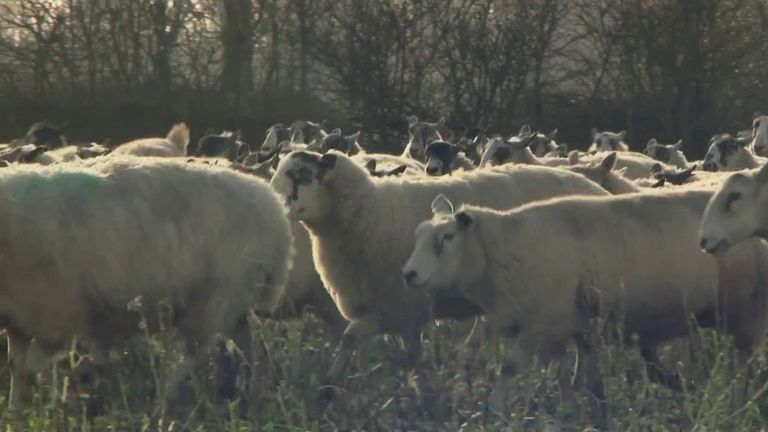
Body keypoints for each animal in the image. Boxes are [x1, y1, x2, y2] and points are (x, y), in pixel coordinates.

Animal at [0, 156, 294, 408]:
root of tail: (275, 209)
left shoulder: (51, 316)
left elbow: (30, 366)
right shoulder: (18, 321)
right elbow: (16, 365)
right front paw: (17, 411)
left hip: (215, 297)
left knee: (190, 353)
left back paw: (162, 398)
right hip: (235, 297)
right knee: (247, 341)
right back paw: (250, 388)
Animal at [268, 150, 608, 400]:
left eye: (304, 176)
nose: (275, 207)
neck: (370, 213)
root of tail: (597, 188)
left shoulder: (403, 307)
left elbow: (413, 358)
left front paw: (426, 392)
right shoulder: (383, 308)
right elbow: (351, 338)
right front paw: (328, 386)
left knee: (586, 342)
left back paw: (586, 387)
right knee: (580, 339)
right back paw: (580, 385)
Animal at [402, 192, 768, 416]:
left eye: (447, 238)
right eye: (417, 235)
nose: (409, 274)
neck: (503, 249)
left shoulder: (542, 323)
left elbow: (510, 368)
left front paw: (494, 409)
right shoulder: (562, 323)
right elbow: (566, 374)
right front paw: (569, 410)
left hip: (745, 311)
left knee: (742, 365)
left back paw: (737, 403)